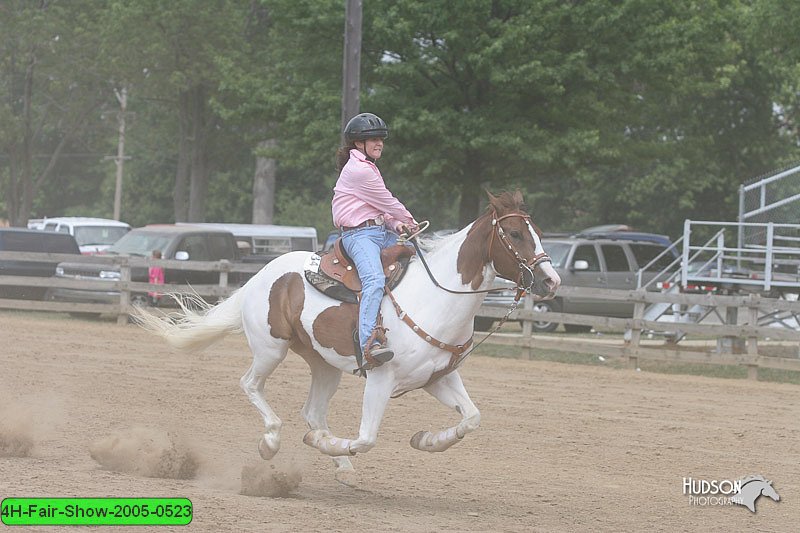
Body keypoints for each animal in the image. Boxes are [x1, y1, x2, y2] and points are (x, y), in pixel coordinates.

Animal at [136, 189, 564, 476]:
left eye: (538, 231)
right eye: (516, 234)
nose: (551, 280)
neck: (436, 297)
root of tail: (262, 274)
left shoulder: (438, 377)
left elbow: (472, 417)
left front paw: (425, 440)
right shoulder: (380, 378)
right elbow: (366, 438)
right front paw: (325, 445)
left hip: (324, 365)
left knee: (312, 412)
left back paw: (339, 464)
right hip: (270, 349)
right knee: (250, 385)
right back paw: (272, 442)